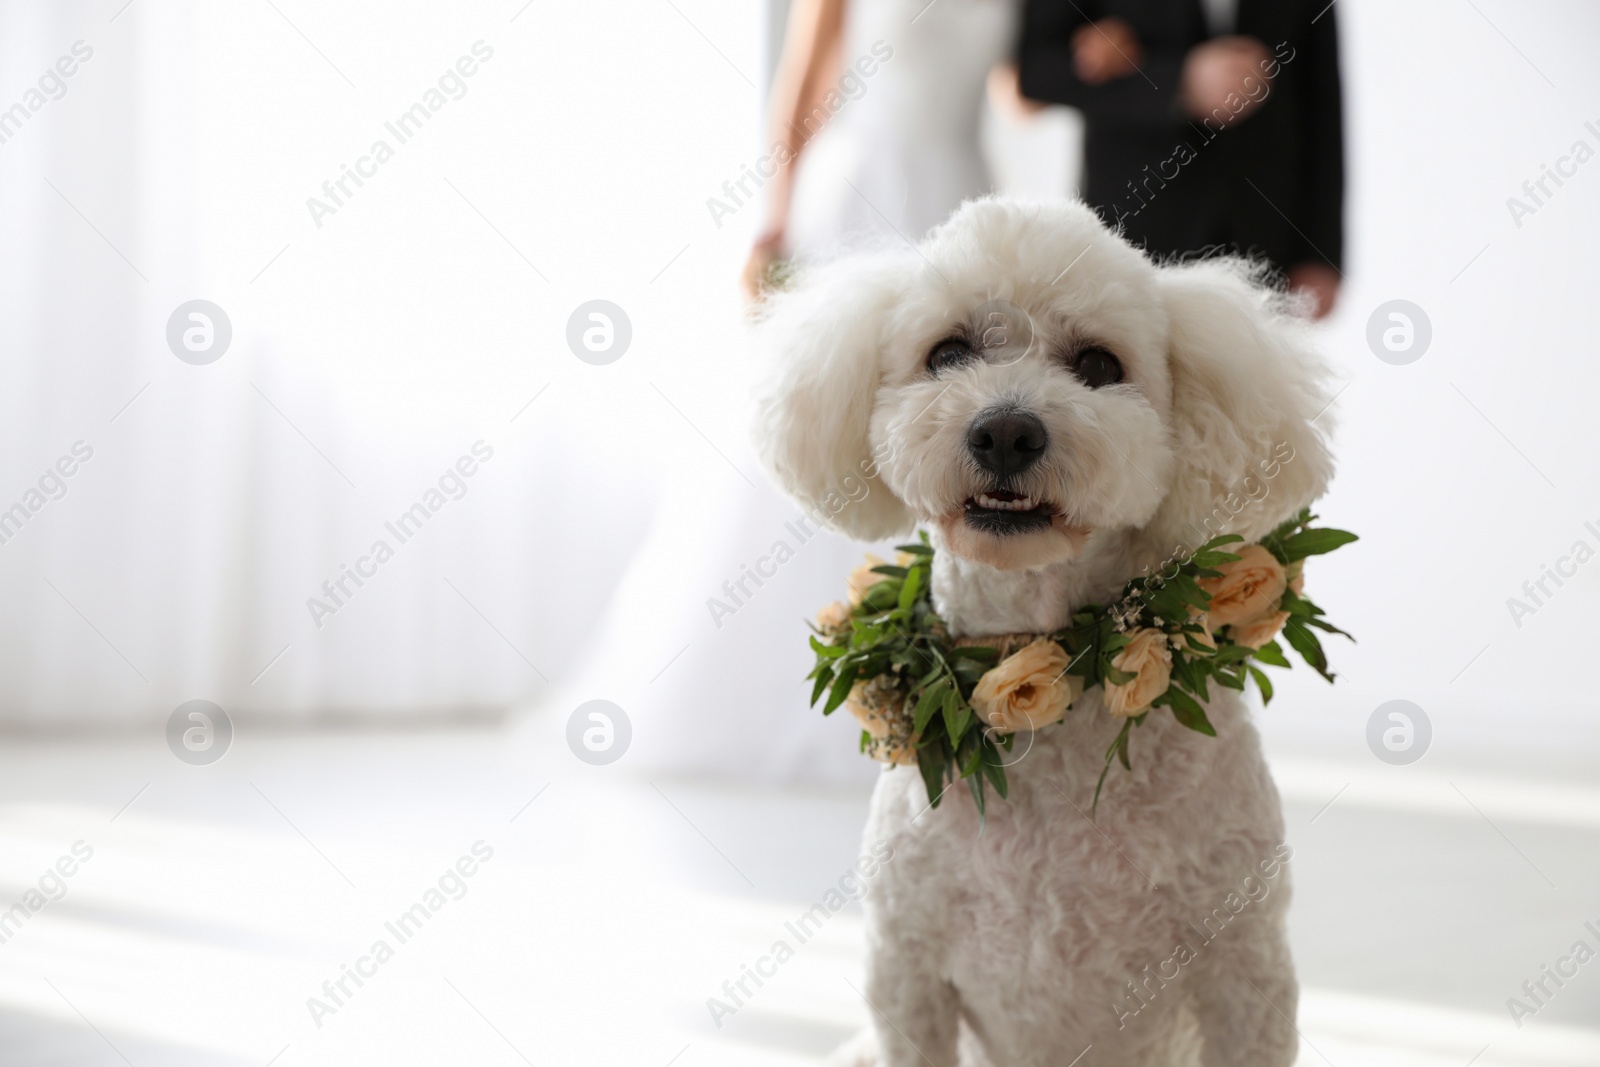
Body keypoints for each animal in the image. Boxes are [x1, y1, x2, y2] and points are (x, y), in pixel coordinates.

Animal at [755, 199, 1331, 1067]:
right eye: (947, 352)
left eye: (1097, 363)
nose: (1005, 432)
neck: (1043, 663)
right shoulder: (908, 978)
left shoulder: (1244, 974)